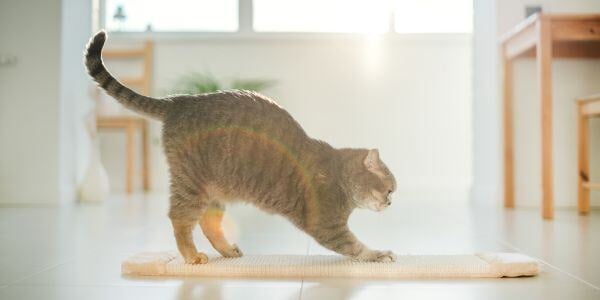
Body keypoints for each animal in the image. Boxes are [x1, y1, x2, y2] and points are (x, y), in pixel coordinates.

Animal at [82, 30, 396, 264]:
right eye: (390, 190)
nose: (391, 203)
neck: (339, 176)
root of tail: (179, 101)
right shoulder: (327, 224)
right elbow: (354, 246)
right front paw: (378, 254)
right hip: (191, 183)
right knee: (180, 218)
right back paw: (191, 255)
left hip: (213, 189)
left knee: (208, 223)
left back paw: (227, 250)